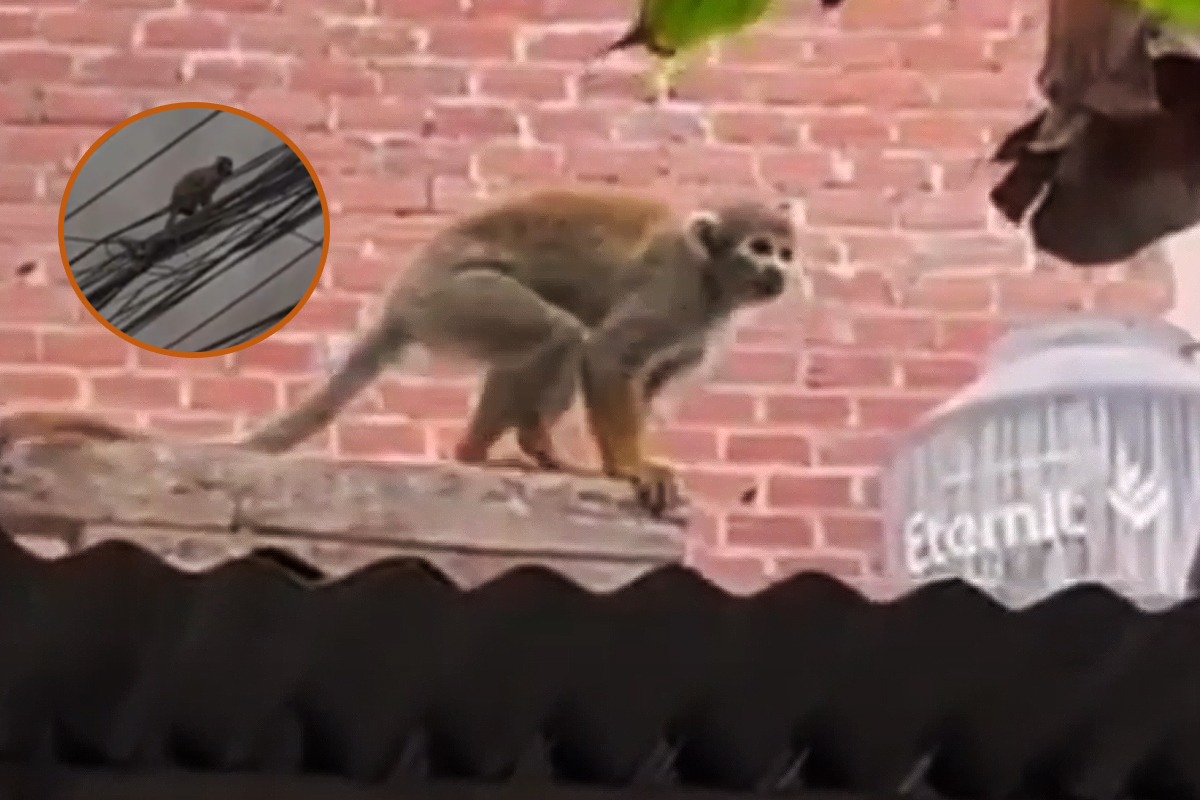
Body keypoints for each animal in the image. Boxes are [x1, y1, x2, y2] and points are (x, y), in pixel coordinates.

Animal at [239, 189, 796, 516]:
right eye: (759, 248)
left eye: (786, 254)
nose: (779, 272)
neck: (712, 282)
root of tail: (402, 299)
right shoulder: (674, 290)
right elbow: (606, 354)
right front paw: (629, 468)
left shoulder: (697, 329)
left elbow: (646, 378)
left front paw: (638, 457)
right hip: (452, 298)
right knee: (559, 333)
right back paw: (522, 447)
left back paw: (488, 452)